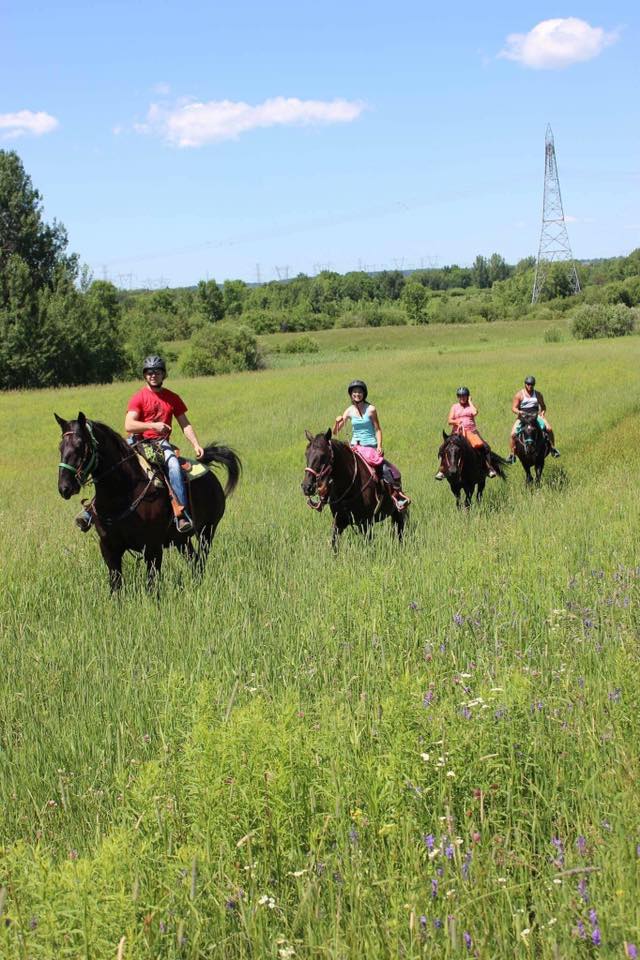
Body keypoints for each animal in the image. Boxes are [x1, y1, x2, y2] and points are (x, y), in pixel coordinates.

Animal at [56, 410, 241, 588]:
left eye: (80, 445)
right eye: (60, 447)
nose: (64, 487)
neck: (121, 494)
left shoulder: (152, 548)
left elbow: (152, 584)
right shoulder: (109, 548)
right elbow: (116, 585)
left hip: (207, 531)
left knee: (201, 559)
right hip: (182, 541)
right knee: (194, 560)